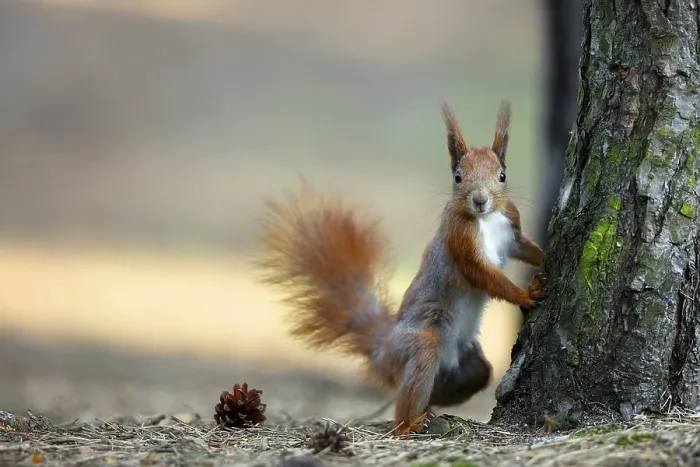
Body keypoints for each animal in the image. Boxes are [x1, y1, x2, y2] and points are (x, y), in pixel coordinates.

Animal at [257, 101, 544, 436]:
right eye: (458, 176)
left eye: (502, 175)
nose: (480, 200)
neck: (487, 219)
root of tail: (384, 351)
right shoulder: (462, 245)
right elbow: (486, 276)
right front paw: (526, 294)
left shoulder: (512, 229)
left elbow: (525, 247)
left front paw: (543, 255)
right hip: (418, 345)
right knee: (405, 395)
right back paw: (411, 423)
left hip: (468, 366)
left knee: (464, 377)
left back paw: (431, 408)